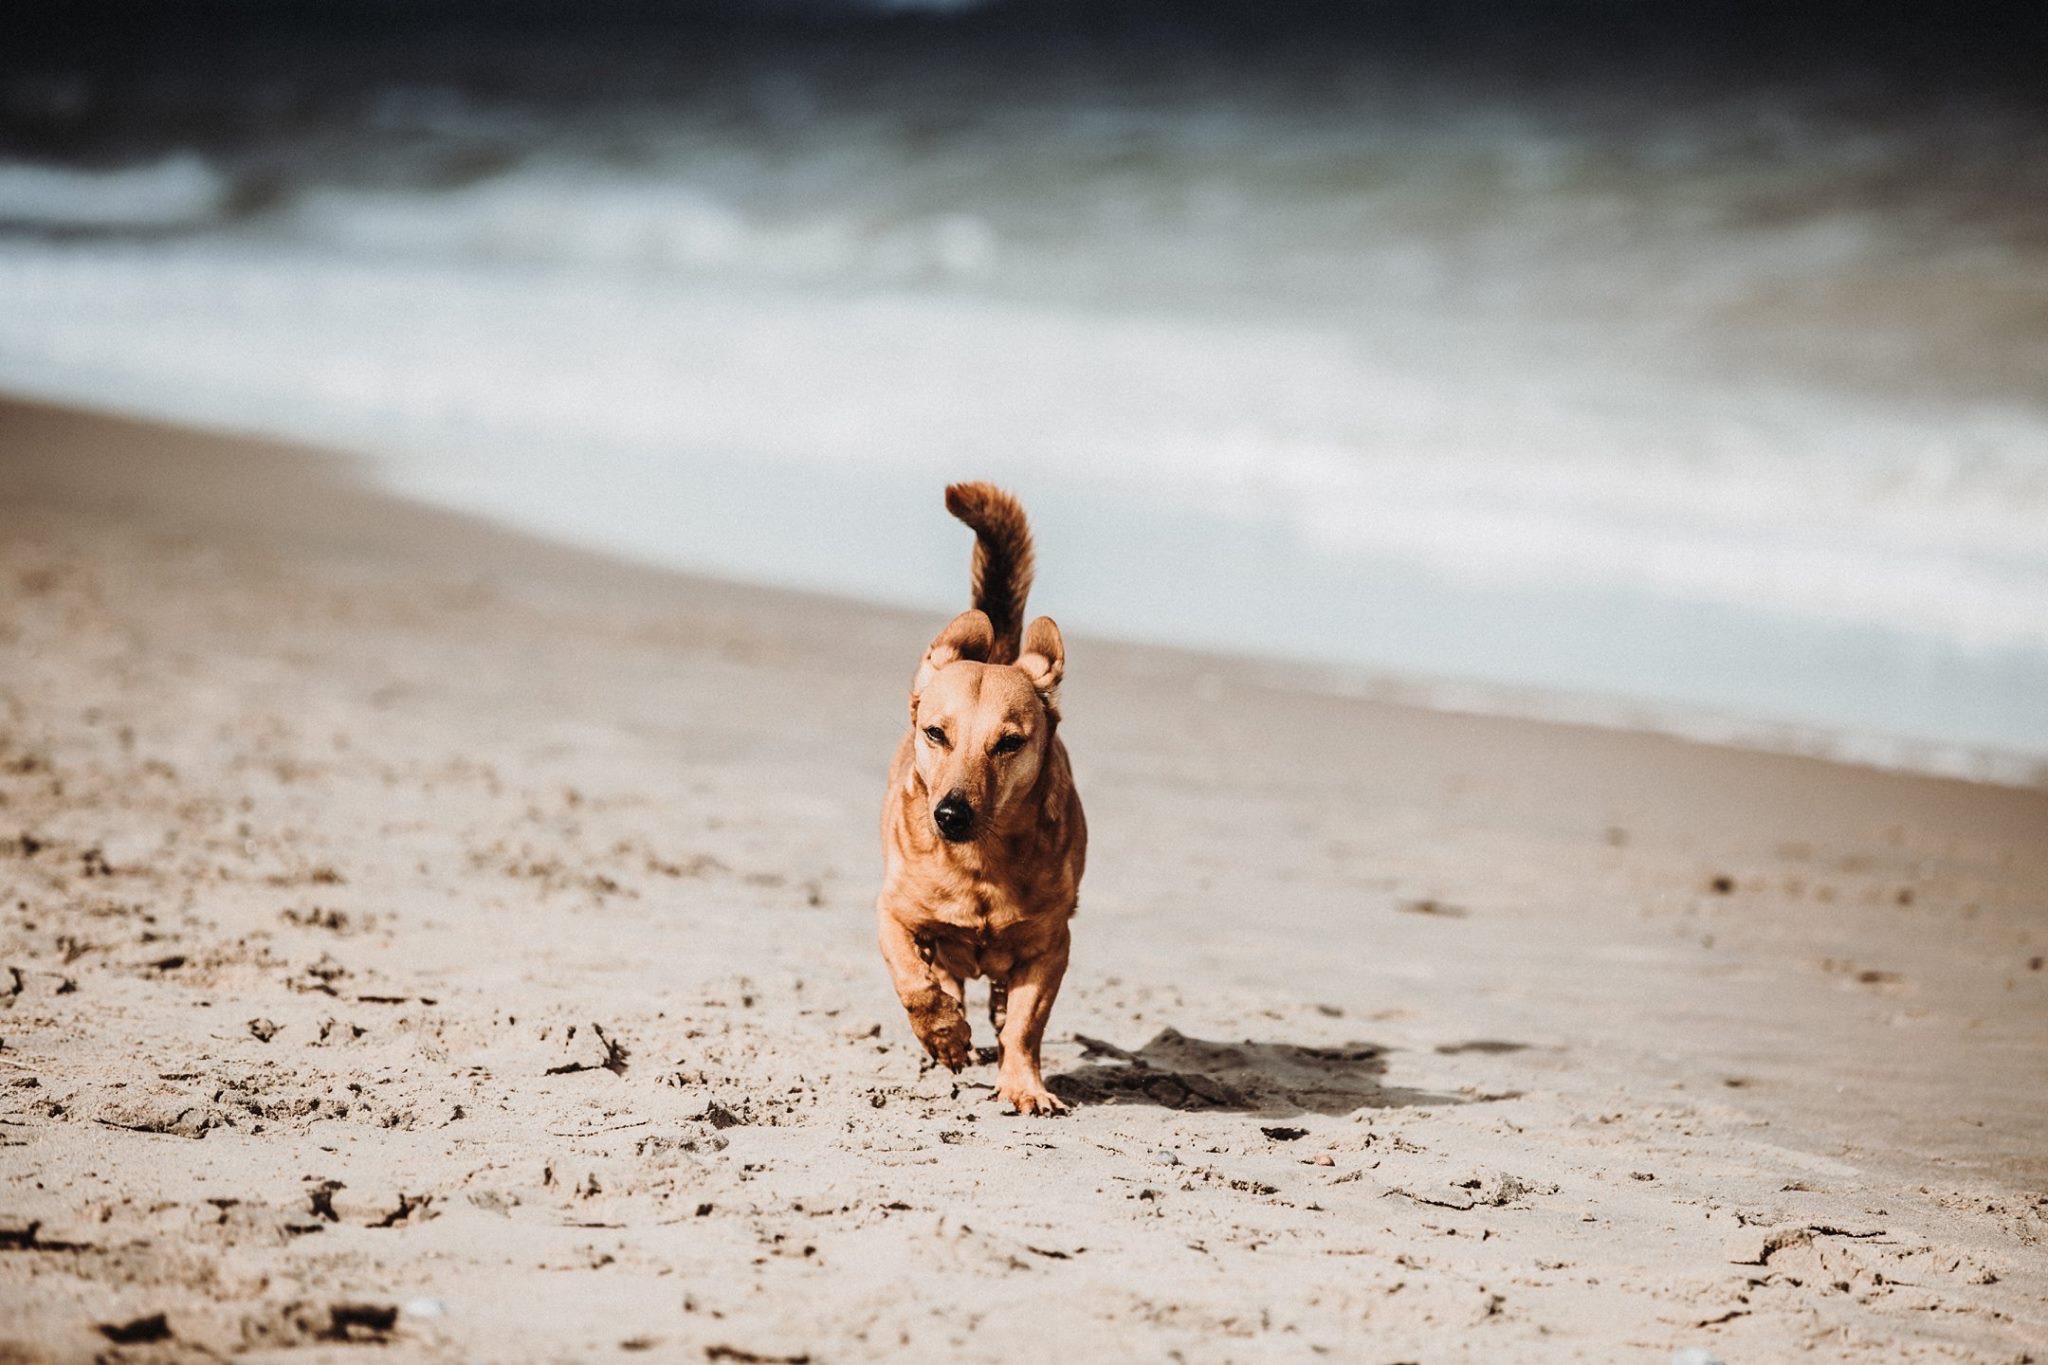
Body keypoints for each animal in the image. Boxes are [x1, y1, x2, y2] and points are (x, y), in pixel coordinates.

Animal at [872, 485, 1089, 1113]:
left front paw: (1024, 1086)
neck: (980, 865)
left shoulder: (1051, 946)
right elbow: (914, 983)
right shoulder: (892, 913)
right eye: (935, 734)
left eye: (1010, 743)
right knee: (940, 973)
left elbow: (1025, 1024)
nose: (950, 814)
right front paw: (944, 1034)